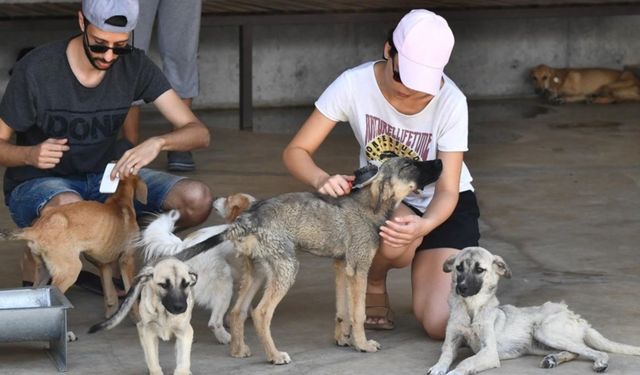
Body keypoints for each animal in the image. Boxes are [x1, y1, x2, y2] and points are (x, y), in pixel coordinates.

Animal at [0, 176, 148, 318]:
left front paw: (112, 314)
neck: (120, 200)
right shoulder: (127, 260)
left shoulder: (103, 264)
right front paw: (137, 318)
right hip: (69, 270)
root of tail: (36, 229)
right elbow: (131, 295)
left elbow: (110, 293)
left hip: (43, 272)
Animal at [141, 195, 256, 346]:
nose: (215, 198)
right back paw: (226, 338)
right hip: (224, 286)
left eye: (228, 200)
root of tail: (185, 245)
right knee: (213, 322)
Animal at [168, 157, 442, 366]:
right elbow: (358, 312)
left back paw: (238, 350)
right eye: (409, 164)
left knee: (237, 311)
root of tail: (246, 220)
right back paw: (274, 356)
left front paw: (344, 339)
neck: (369, 205)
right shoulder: (359, 268)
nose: (440, 161)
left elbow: (342, 310)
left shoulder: (342, 267)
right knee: (261, 313)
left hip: (258, 272)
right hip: (287, 268)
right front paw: (362, 344)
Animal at [424, 248, 640, 374]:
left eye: (479, 270)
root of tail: (578, 318)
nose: (461, 288)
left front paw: (455, 371)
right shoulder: (451, 342)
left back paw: (600, 363)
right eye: (459, 268)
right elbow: (445, 356)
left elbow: (466, 362)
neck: (471, 308)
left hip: (545, 330)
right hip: (540, 342)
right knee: (574, 351)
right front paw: (437, 368)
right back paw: (553, 359)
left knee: (591, 351)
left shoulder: (489, 352)